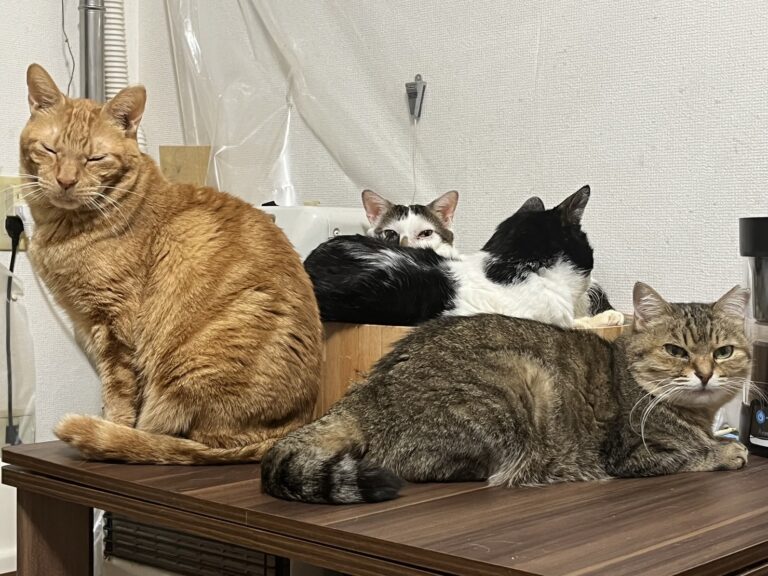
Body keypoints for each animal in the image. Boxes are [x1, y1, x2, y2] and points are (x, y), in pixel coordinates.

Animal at [20, 63, 322, 464]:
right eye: (50, 149)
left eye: (95, 158)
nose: (65, 181)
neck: (65, 227)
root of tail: (291, 428)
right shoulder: (86, 320)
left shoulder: (115, 326)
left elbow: (118, 393)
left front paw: (111, 427)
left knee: (182, 437)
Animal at [261, 283, 751, 504]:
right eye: (675, 351)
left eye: (723, 352)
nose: (705, 374)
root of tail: (366, 393)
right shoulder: (631, 454)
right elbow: (694, 454)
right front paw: (727, 451)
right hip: (513, 388)